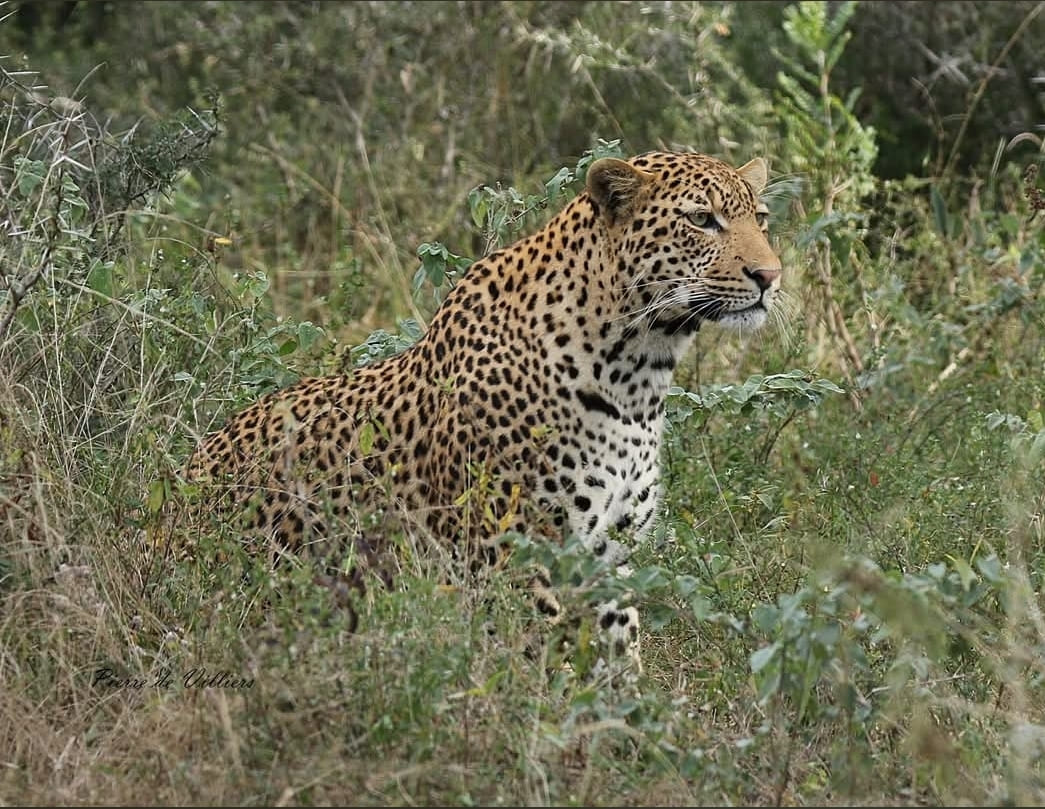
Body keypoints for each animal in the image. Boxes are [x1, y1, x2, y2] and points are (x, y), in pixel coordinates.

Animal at [184, 150, 783, 675]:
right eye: (702, 220)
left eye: (760, 219)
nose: (770, 277)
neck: (638, 371)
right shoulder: (515, 554)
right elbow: (539, 670)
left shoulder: (607, 555)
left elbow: (618, 662)